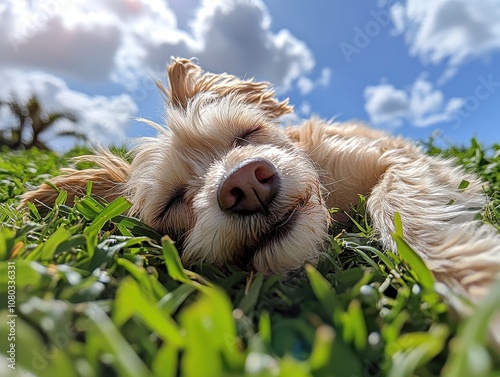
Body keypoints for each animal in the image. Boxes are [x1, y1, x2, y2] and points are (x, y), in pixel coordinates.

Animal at [22, 58, 500, 338]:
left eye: (246, 134)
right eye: (173, 201)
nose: (247, 184)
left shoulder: (396, 161)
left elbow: (400, 207)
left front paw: (476, 283)